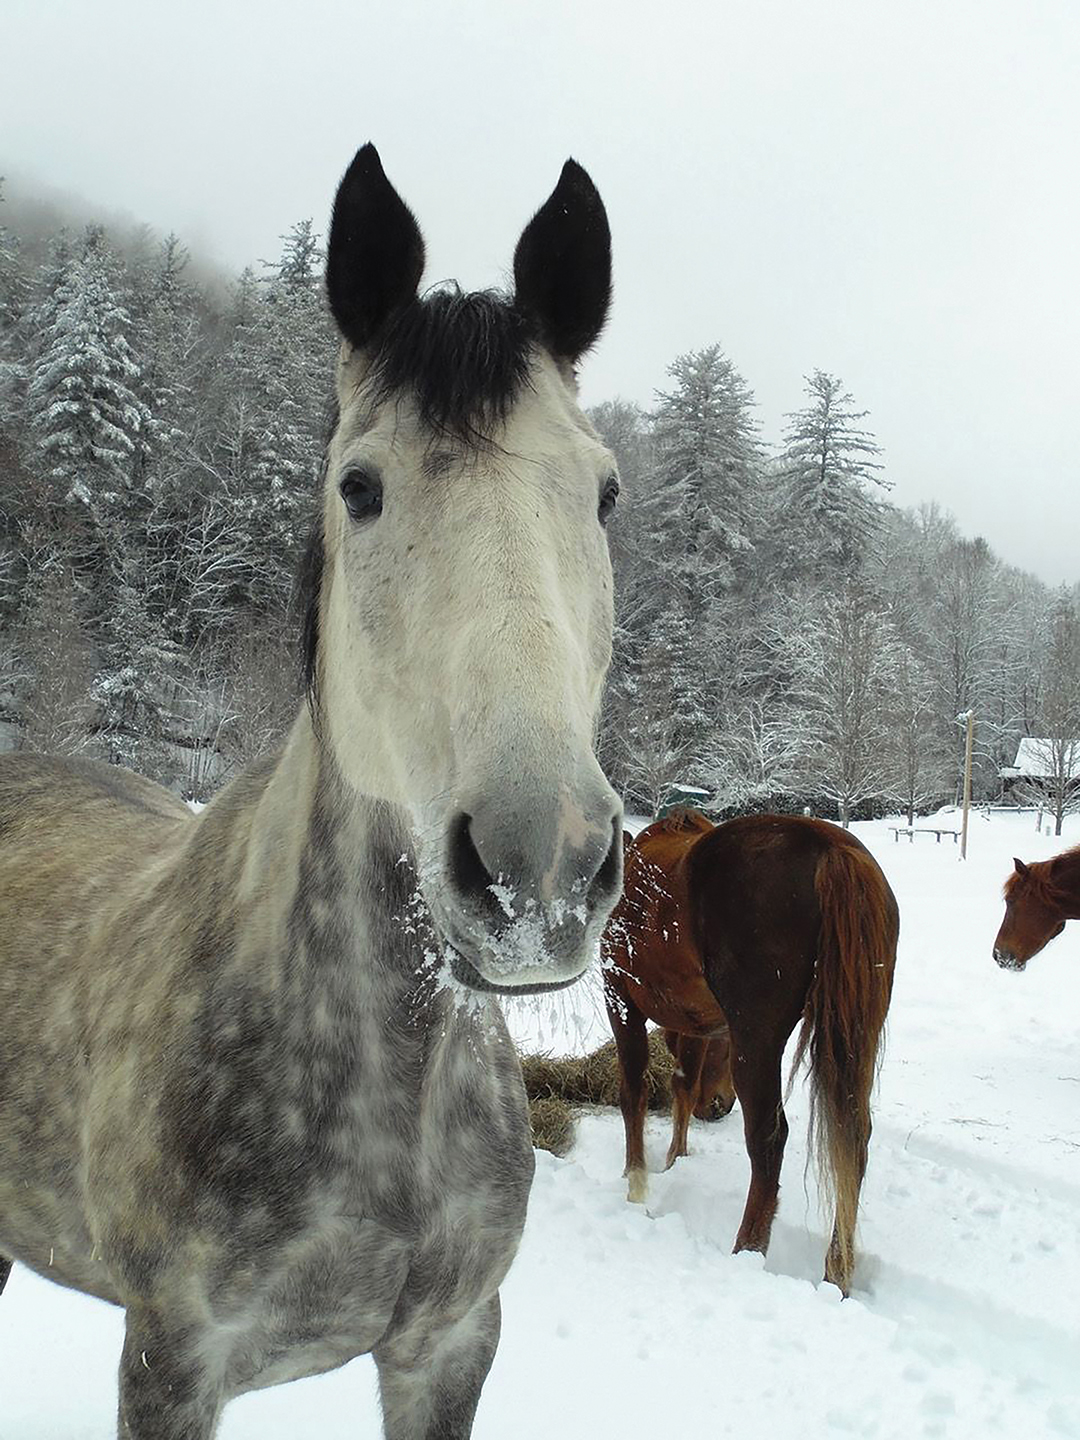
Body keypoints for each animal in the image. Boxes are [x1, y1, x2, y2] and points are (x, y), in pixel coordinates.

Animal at [601, 810, 898, 1296]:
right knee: (853, 1138)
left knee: (768, 1138)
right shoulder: (698, 1025)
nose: (719, 1107)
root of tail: (830, 847)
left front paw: (636, 1179)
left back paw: (748, 1248)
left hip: (757, 1041)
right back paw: (837, 1269)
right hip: (854, 1035)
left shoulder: (619, 999)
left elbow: (634, 1090)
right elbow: (683, 1085)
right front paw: (675, 1159)